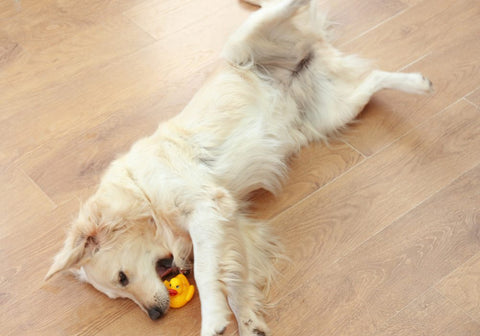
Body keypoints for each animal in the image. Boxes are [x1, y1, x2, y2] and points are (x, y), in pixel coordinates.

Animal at [47, 0, 434, 334]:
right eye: (119, 293)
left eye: (122, 278)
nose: (155, 315)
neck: (144, 198)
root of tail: (311, 50)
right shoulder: (230, 225)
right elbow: (233, 279)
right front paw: (247, 322)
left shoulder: (207, 207)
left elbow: (207, 275)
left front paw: (212, 321)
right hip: (333, 112)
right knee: (375, 79)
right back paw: (419, 83)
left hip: (241, 45)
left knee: (280, 9)